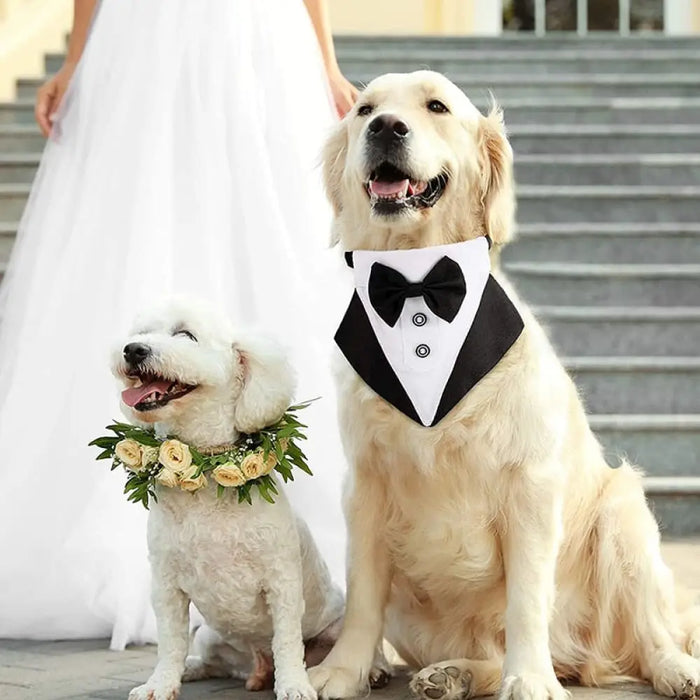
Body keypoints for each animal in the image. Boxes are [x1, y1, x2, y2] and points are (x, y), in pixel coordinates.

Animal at [110, 298, 346, 700]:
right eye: (140, 333)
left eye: (185, 335)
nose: (133, 350)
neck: (205, 472)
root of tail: (256, 664)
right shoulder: (166, 584)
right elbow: (170, 642)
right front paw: (160, 683)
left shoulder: (282, 583)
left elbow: (287, 642)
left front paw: (294, 685)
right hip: (209, 635)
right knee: (210, 659)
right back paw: (198, 669)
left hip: (336, 623)